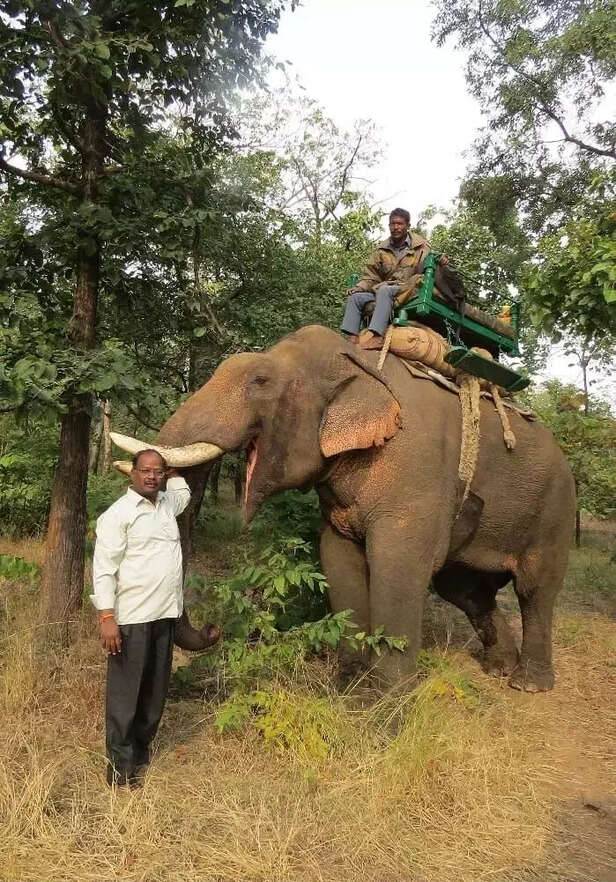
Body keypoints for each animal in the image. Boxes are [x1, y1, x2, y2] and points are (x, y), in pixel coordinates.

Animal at [112, 325, 576, 692]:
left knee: (534, 589)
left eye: (260, 380)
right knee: (465, 589)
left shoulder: (417, 470)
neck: (359, 361)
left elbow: (397, 567)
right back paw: (499, 670)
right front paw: (350, 683)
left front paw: (387, 703)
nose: (213, 629)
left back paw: (528, 684)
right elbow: (338, 559)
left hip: (555, 509)